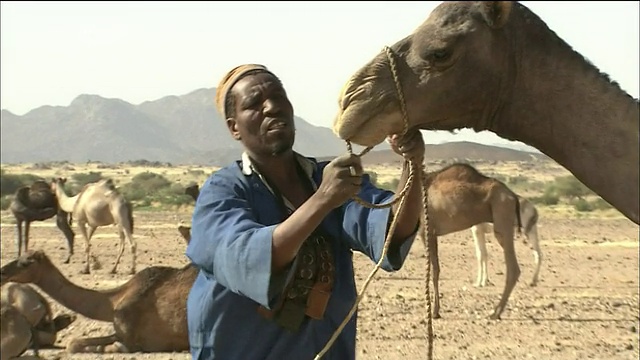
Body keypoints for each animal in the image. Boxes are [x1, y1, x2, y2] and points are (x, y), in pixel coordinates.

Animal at [0, 225, 194, 354]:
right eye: (20, 257)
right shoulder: (120, 332)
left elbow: (77, 345)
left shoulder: (132, 338)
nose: (2, 272)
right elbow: (75, 342)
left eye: (27, 262)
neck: (113, 303)